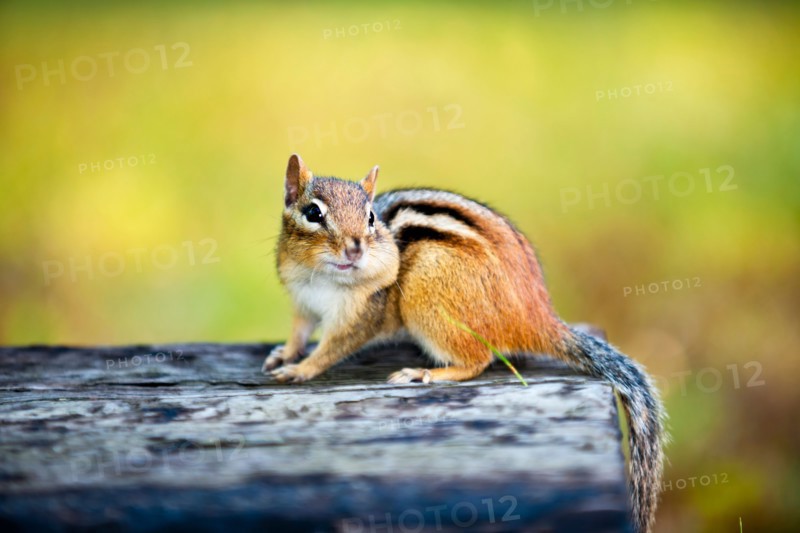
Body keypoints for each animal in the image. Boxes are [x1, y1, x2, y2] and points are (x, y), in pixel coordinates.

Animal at [263, 153, 666, 533]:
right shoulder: (302, 301)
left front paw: (301, 369)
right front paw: (285, 354)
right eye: (313, 213)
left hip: (424, 299)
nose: (355, 249)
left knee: (478, 359)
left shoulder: (362, 316)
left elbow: (332, 348)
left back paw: (425, 373)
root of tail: (536, 315)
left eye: (371, 218)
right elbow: (300, 330)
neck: (322, 278)